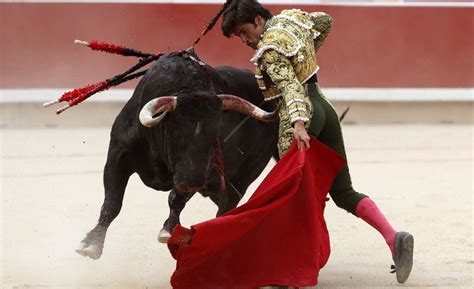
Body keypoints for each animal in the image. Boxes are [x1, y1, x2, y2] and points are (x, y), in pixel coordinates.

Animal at [76, 50, 280, 258]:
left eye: (216, 134)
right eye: (177, 134)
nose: (193, 182)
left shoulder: (198, 171)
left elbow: (176, 198)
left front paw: (168, 230)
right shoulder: (118, 155)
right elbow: (112, 203)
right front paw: (91, 244)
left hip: (239, 180)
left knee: (225, 208)